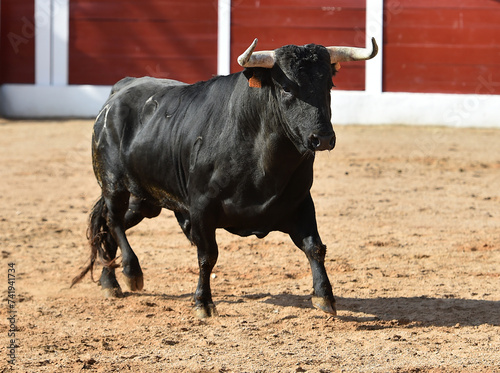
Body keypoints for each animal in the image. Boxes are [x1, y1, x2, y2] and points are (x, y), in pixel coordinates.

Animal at [72, 40, 376, 316]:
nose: (322, 138)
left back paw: (109, 281)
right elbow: (207, 256)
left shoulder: (301, 202)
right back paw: (130, 272)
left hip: (145, 199)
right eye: (287, 88)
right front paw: (203, 303)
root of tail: (120, 89)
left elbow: (314, 247)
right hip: (114, 184)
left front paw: (325, 296)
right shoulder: (201, 208)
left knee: (109, 226)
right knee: (113, 220)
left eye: (329, 86)